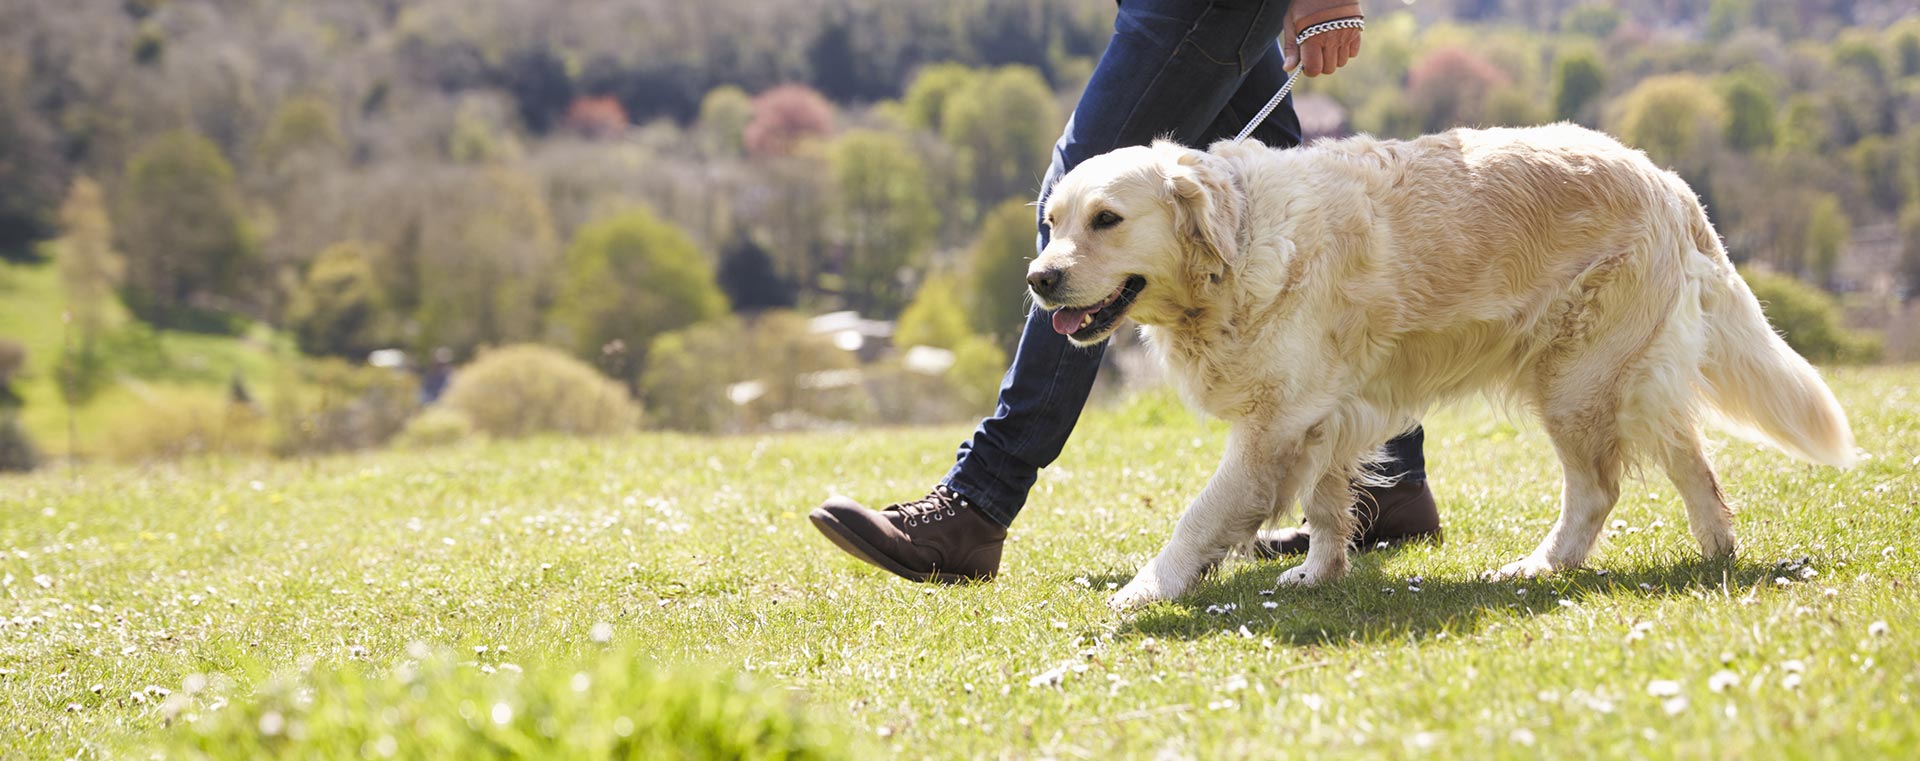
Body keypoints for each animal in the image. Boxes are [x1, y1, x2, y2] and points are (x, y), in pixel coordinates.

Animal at [1029, 125, 1866, 611]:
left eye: (1107, 219)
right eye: (1053, 222)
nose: (1039, 279)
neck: (1239, 245)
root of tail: (1665, 178)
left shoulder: (1275, 422)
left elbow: (1201, 514)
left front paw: (1145, 588)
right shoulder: (1323, 413)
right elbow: (1326, 504)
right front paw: (1319, 572)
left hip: (1576, 381)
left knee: (1600, 489)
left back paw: (1541, 565)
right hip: (1619, 376)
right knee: (1695, 465)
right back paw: (1715, 551)